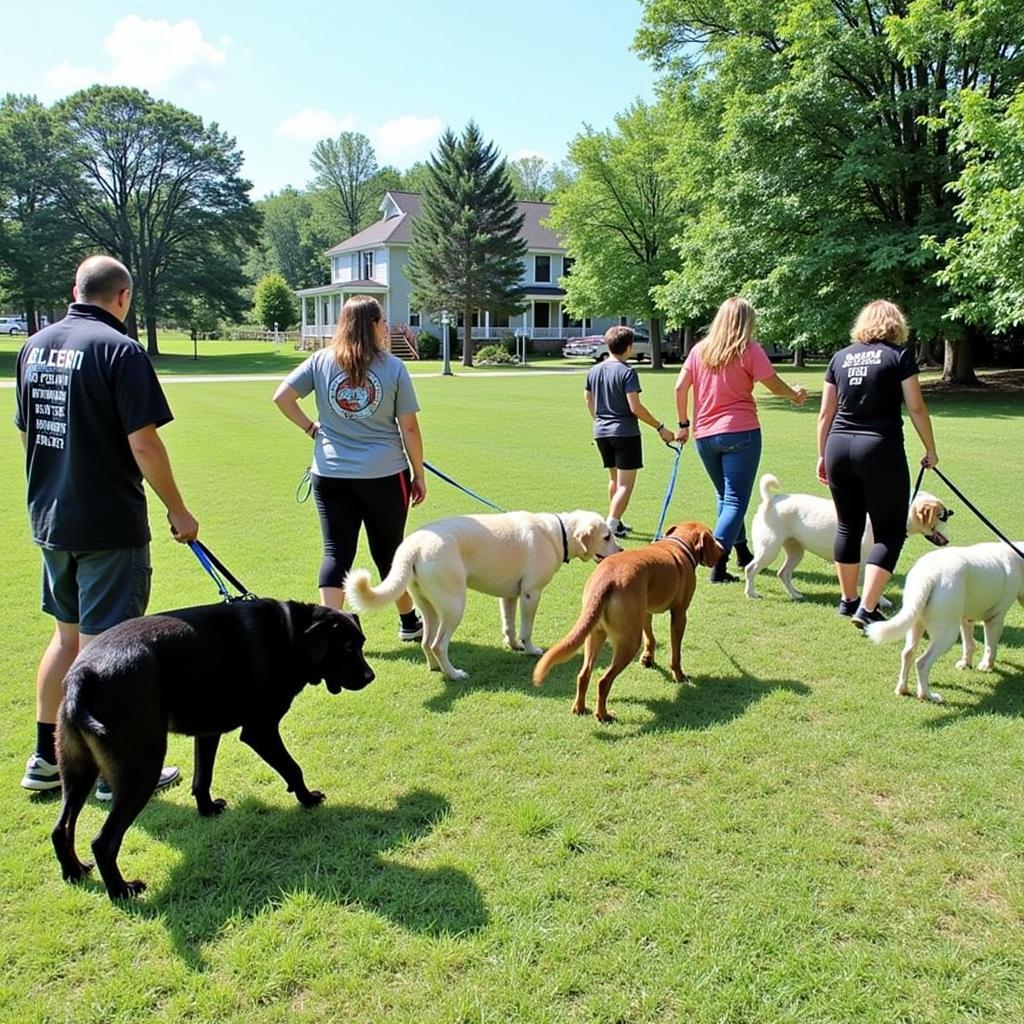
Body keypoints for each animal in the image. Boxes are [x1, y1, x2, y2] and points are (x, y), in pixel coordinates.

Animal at [51, 598, 372, 901]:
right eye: (346, 648)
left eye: (361, 644)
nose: (371, 677)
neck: (289, 633)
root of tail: (84, 674)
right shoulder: (260, 731)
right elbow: (292, 767)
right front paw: (307, 798)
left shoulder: (207, 733)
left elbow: (202, 777)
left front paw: (207, 809)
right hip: (141, 769)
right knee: (103, 842)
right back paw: (121, 890)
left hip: (77, 771)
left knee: (61, 828)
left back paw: (74, 871)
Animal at [344, 509, 618, 679]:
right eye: (607, 536)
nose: (620, 551)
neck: (558, 533)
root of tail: (412, 545)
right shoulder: (531, 594)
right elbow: (526, 629)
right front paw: (530, 649)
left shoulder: (509, 596)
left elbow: (509, 625)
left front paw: (512, 645)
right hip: (454, 606)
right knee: (438, 644)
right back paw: (454, 674)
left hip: (429, 607)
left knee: (426, 642)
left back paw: (435, 668)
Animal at [532, 524, 724, 724]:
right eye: (713, 538)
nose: (723, 550)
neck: (679, 545)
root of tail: (606, 579)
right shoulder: (679, 615)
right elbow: (675, 653)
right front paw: (679, 676)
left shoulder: (645, 612)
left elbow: (650, 637)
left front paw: (648, 658)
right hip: (629, 642)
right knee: (603, 681)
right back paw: (603, 715)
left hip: (594, 634)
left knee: (584, 674)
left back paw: (580, 708)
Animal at [745, 475, 950, 602]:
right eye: (942, 516)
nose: (949, 540)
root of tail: (771, 500)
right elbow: (869, 582)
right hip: (769, 549)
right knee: (750, 569)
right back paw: (751, 593)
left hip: (796, 551)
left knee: (783, 573)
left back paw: (795, 594)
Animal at [864, 544, 1024, 704]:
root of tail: (928, 577)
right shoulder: (995, 618)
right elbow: (991, 646)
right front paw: (986, 666)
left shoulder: (965, 618)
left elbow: (969, 644)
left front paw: (966, 663)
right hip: (947, 634)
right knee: (922, 663)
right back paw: (927, 695)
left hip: (915, 621)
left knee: (907, 653)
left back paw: (902, 689)